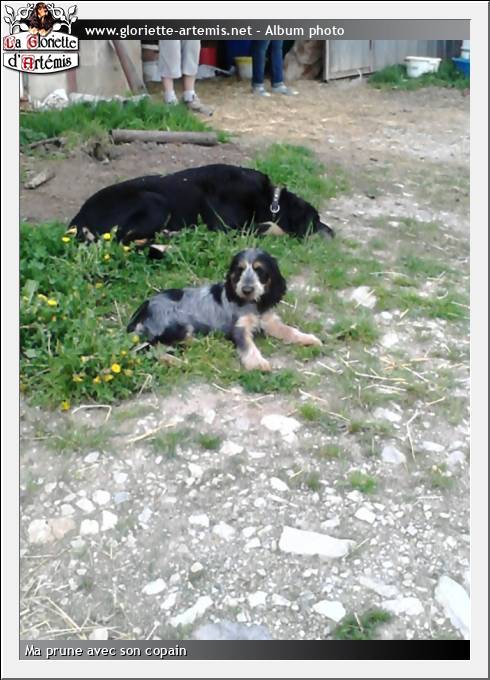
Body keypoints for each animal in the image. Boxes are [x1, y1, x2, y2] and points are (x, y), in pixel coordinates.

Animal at [70, 164, 334, 247]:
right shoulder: (225, 228)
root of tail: (79, 216)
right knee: (122, 239)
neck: (269, 200)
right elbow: (271, 227)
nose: (333, 233)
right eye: (316, 220)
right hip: (155, 202)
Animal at [127, 248, 322, 371]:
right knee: (153, 350)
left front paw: (309, 339)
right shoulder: (239, 328)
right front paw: (258, 364)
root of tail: (142, 310)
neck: (252, 304)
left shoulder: (269, 321)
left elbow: (290, 330)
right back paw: (180, 362)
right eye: (239, 270)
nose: (247, 289)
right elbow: (248, 347)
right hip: (176, 326)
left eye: (259, 270)